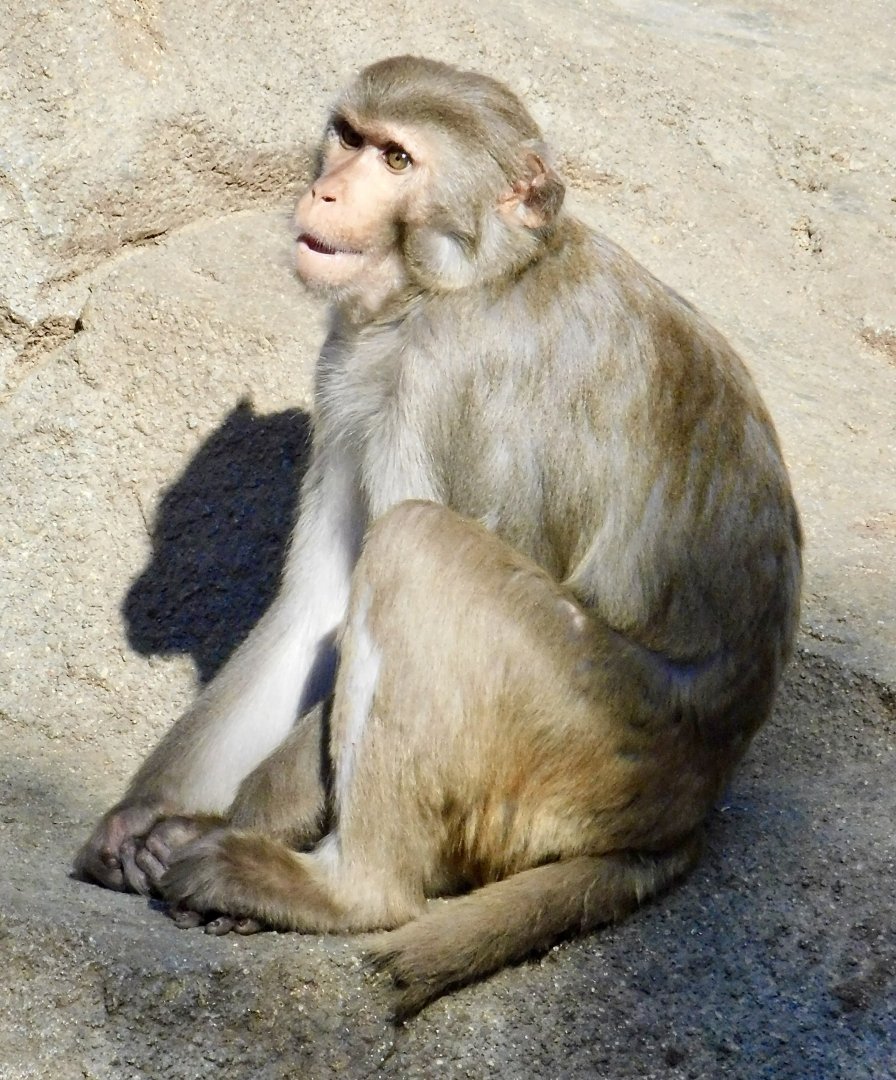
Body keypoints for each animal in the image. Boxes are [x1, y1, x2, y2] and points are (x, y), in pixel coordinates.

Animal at [74, 55, 802, 1017]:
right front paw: (141, 822)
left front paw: (209, 829)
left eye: (397, 159)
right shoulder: (350, 368)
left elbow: (384, 573)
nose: (327, 189)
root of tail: (692, 806)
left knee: (418, 547)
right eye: (349, 137)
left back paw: (334, 890)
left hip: (590, 742)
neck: (455, 283)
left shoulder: (446, 379)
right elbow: (318, 610)